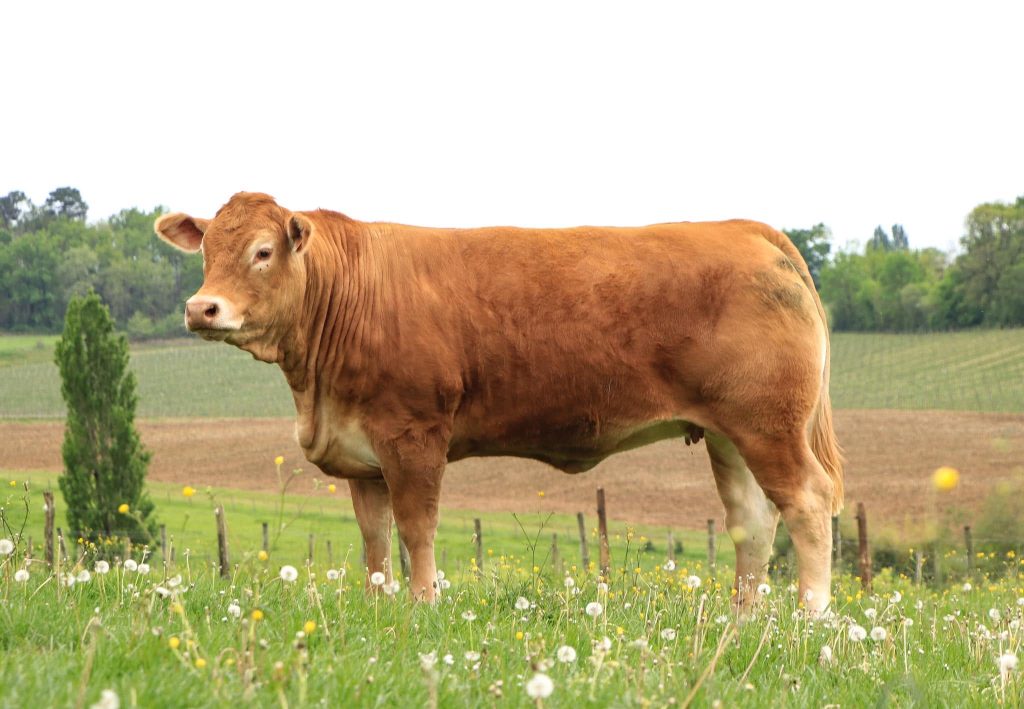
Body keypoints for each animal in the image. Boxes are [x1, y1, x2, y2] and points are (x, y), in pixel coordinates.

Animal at [155, 192, 843, 613]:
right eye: (208, 250)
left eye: (263, 251)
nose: (201, 308)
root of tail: (749, 231)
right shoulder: (363, 454)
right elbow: (375, 539)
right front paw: (378, 605)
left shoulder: (413, 434)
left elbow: (417, 528)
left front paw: (423, 605)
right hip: (731, 435)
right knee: (752, 520)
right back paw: (743, 619)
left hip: (769, 427)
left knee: (807, 504)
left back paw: (810, 617)